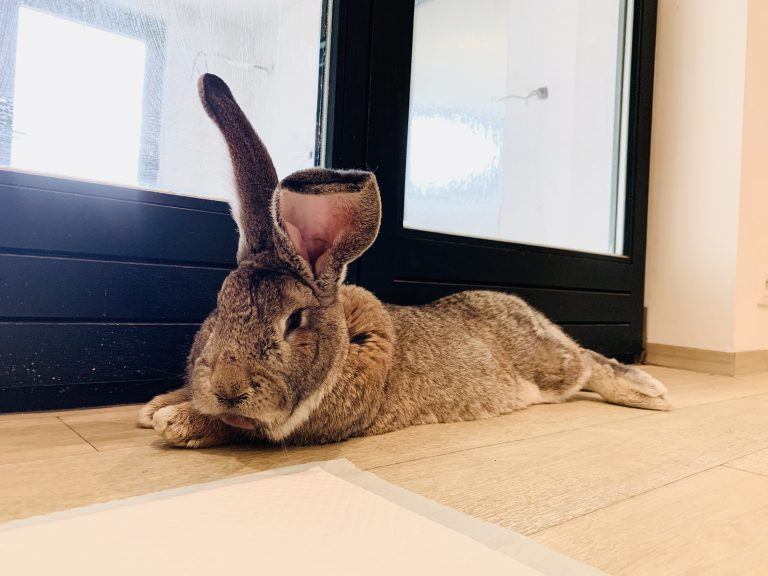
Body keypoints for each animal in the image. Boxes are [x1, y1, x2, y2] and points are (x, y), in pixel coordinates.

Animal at [137, 74, 670, 448]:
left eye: (294, 320)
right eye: (219, 305)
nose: (227, 389)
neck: (344, 344)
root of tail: (529, 313)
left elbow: (241, 426)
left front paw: (177, 420)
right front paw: (158, 406)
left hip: (550, 366)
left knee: (589, 361)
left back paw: (649, 393)